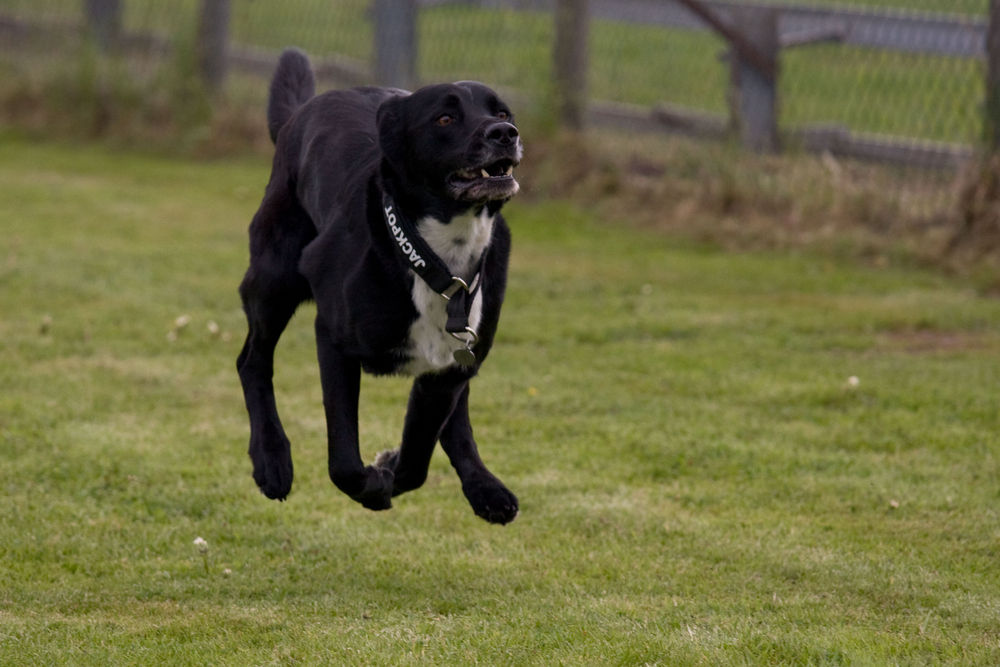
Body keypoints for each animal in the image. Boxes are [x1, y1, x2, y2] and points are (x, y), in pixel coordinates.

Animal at [235, 49, 524, 524]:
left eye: (502, 113)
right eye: (445, 118)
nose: (505, 134)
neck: (438, 259)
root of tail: (300, 113)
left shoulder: (448, 369)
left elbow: (418, 456)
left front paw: (389, 471)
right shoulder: (333, 339)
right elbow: (344, 462)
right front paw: (373, 486)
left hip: (465, 354)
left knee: (456, 417)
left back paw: (484, 487)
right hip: (274, 280)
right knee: (252, 360)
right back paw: (271, 459)